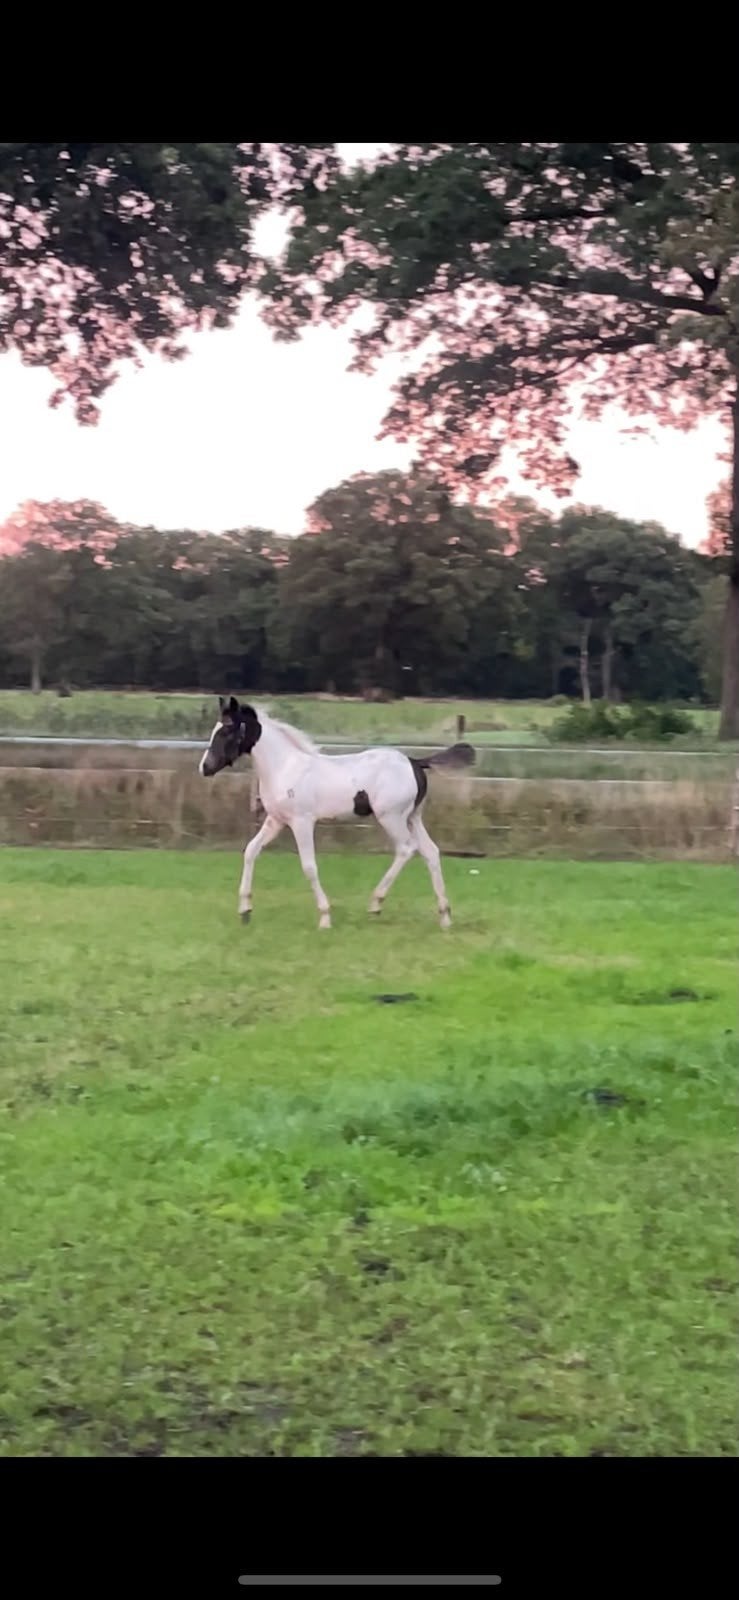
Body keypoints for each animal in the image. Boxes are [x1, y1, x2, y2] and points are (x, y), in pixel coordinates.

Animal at [199, 697, 475, 930]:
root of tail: (415, 762)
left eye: (226, 731)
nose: (205, 767)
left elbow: (309, 866)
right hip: (412, 818)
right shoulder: (276, 821)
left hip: (392, 817)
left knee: (407, 849)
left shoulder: (302, 822)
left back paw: (376, 903)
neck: (285, 767)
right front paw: (245, 910)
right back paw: (445, 916)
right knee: (431, 852)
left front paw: (325, 917)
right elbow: (251, 851)